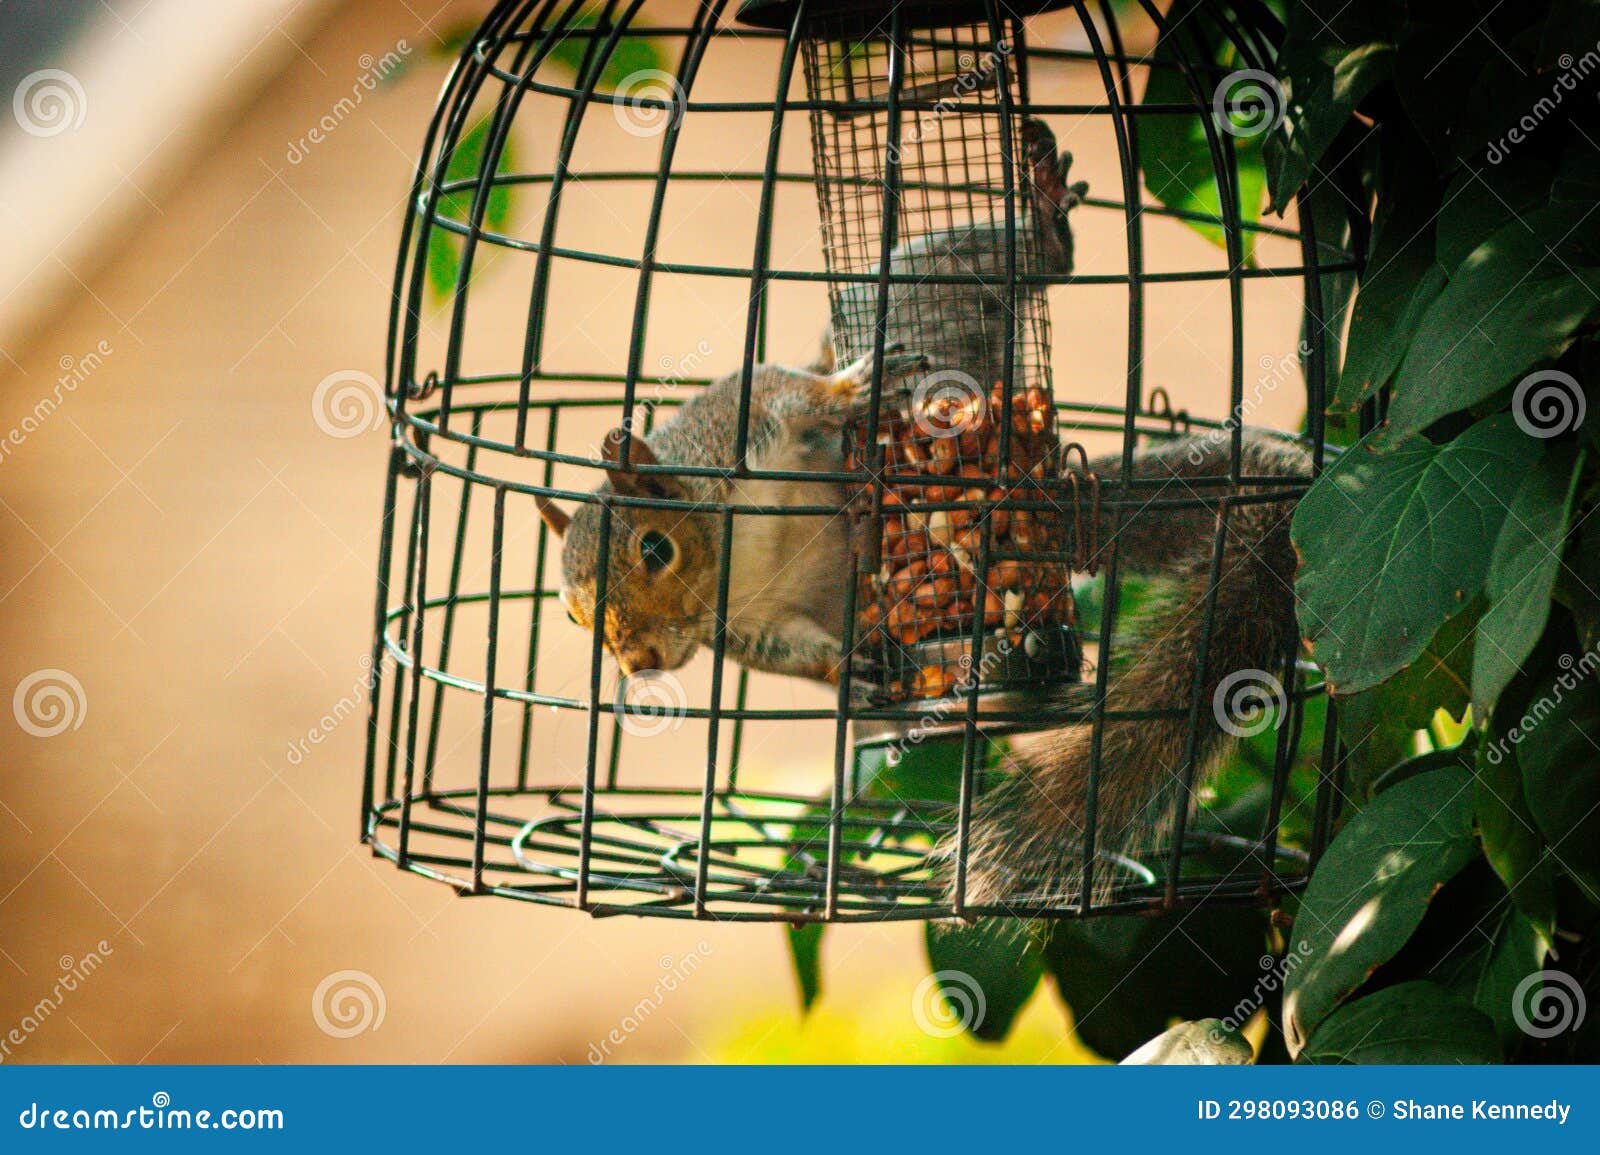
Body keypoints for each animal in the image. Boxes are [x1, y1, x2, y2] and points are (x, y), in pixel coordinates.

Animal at [536, 117, 1308, 908]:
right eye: (570, 613)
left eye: (655, 550)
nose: (641, 663)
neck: (732, 547)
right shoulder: (742, 626)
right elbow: (791, 650)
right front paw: (846, 669)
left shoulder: (742, 423)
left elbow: (791, 391)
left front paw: (851, 393)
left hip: (919, 286)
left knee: (977, 271)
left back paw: (1043, 226)